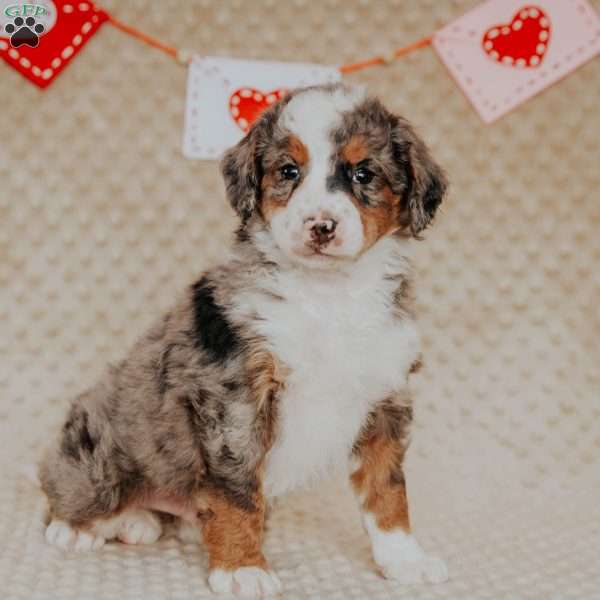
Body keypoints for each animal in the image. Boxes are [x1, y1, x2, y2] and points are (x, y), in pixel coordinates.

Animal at [37, 83, 448, 596]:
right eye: (288, 171)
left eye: (363, 173)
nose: (321, 226)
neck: (327, 295)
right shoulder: (234, 396)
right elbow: (235, 489)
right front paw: (242, 568)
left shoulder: (384, 397)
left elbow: (388, 489)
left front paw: (405, 560)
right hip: (98, 449)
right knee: (67, 483)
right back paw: (75, 528)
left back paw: (141, 522)